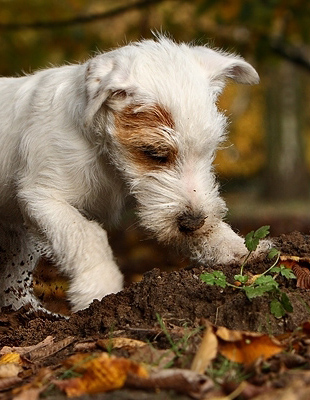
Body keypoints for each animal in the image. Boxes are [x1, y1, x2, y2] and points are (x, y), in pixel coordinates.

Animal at [0, 36, 268, 312]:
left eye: (209, 149)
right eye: (155, 154)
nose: (192, 222)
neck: (105, 157)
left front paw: (237, 247)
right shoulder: (43, 197)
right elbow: (83, 234)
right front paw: (98, 285)